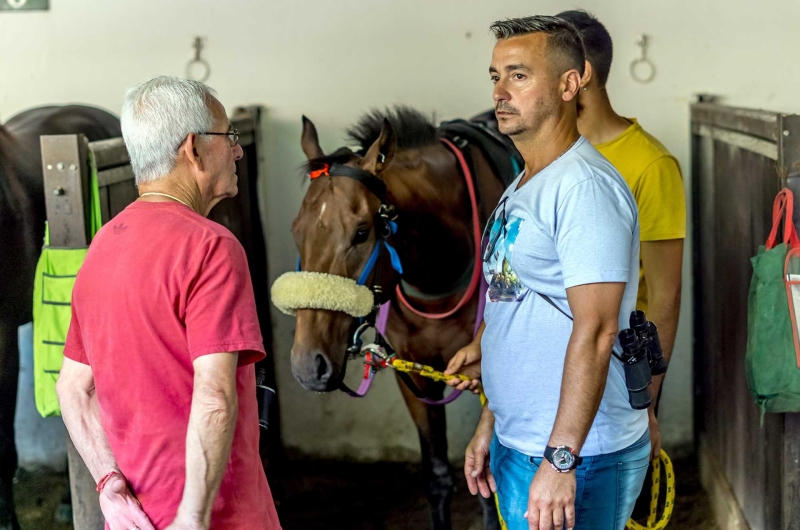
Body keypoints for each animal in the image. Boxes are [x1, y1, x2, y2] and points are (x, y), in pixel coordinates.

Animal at [282, 107, 520, 528]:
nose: (309, 364)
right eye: (298, 231)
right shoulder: (414, 374)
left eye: (361, 233)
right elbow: (438, 477)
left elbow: (486, 486)